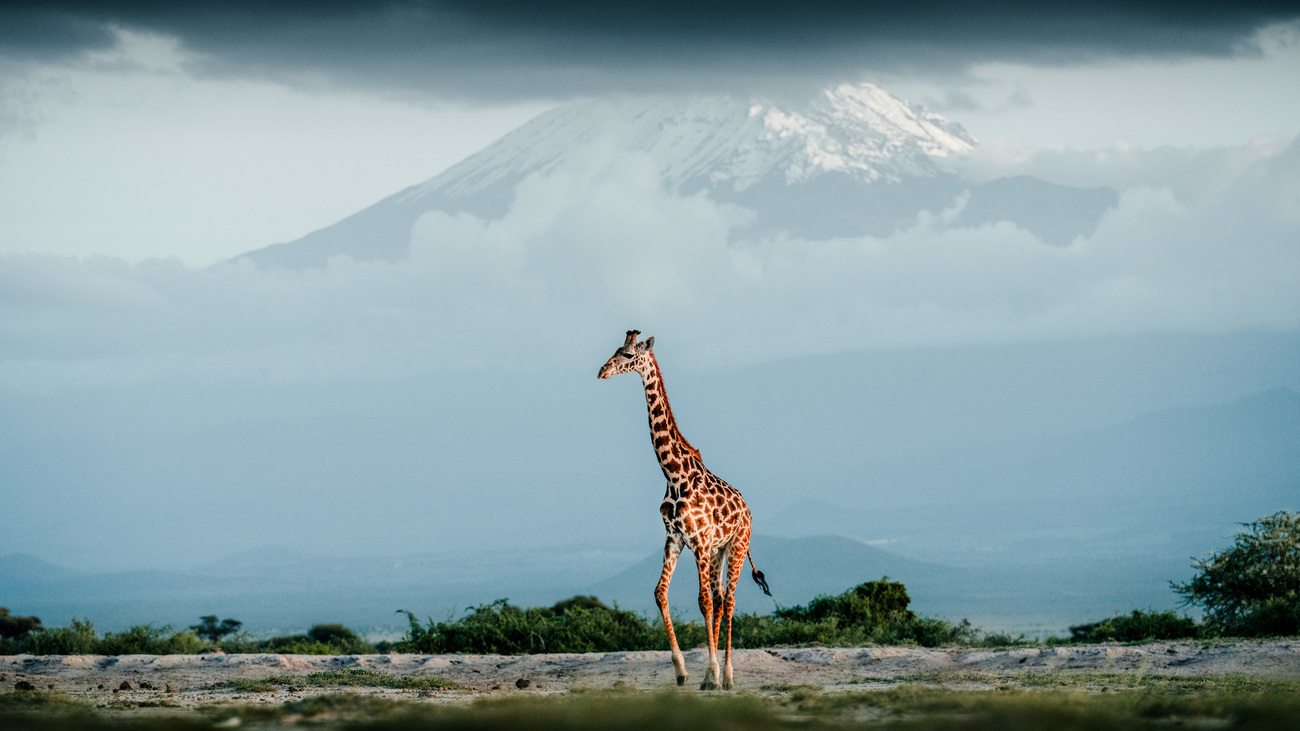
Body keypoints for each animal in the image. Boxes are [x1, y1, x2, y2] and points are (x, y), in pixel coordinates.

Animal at [598, 330, 770, 690]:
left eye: (626, 354)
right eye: (616, 350)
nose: (602, 371)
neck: (673, 473)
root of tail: (747, 510)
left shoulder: (699, 542)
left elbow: (702, 601)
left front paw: (712, 675)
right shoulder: (675, 539)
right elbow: (660, 593)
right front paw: (682, 671)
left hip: (736, 547)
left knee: (728, 601)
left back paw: (727, 676)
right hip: (718, 552)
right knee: (720, 598)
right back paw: (713, 674)